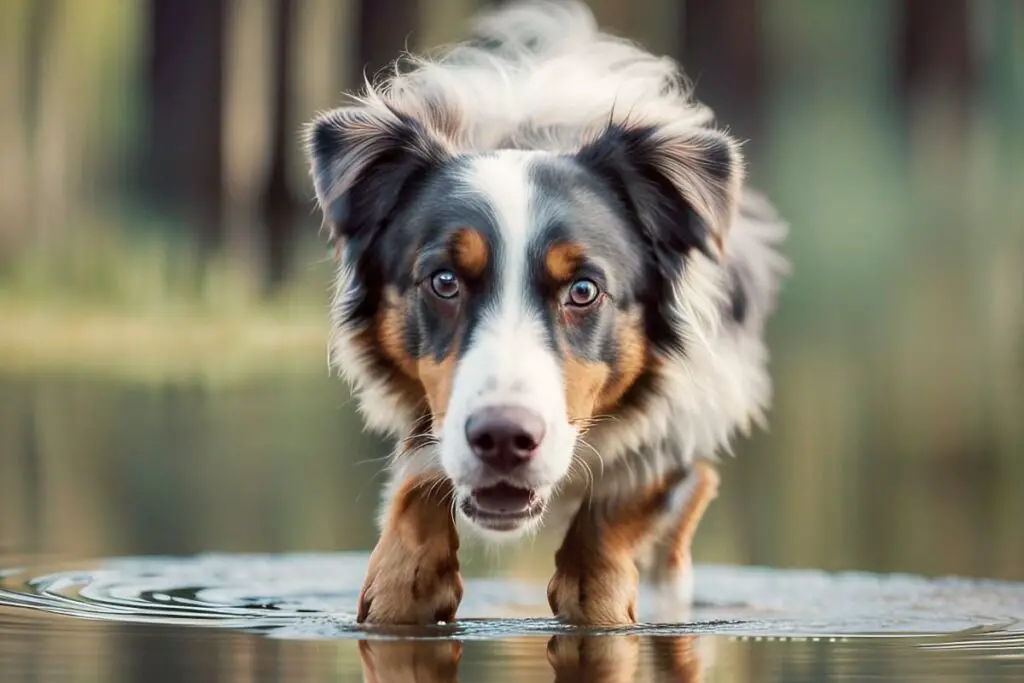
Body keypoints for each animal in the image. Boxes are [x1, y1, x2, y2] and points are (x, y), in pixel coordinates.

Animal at [301, 0, 782, 626]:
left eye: (583, 290)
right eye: (444, 281)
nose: (504, 439)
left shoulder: (685, 405)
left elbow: (620, 508)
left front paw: (594, 588)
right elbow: (419, 476)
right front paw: (404, 579)